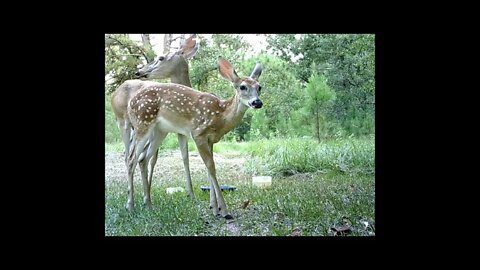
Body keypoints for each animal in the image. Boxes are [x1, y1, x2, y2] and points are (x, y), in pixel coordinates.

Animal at [110, 33, 199, 198]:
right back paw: (131, 193)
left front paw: (190, 193)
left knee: (134, 154)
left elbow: (184, 156)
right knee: (128, 155)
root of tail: (115, 92)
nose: (139, 72)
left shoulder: (178, 131)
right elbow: (148, 157)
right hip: (122, 121)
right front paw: (146, 192)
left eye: (161, 58)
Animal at [127, 57, 262, 219]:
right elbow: (211, 167)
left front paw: (214, 207)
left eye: (259, 87)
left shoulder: (211, 140)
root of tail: (130, 103)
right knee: (131, 159)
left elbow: (209, 169)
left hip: (159, 131)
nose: (257, 102)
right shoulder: (198, 133)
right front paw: (224, 210)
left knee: (143, 159)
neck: (220, 116)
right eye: (242, 87)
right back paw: (130, 206)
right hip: (142, 123)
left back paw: (148, 204)